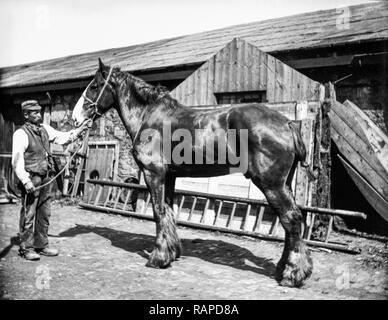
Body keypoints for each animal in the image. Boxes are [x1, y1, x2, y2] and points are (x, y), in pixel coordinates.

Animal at [73, 59, 314, 288]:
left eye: (94, 86)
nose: (76, 118)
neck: (148, 117)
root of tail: (288, 123)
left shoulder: (154, 174)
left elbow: (159, 212)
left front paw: (158, 258)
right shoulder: (169, 176)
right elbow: (169, 212)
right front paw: (170, 253)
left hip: (271, 184)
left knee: (291, 219)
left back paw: (292, 275)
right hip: (284, 183)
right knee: (290, 222)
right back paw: (284, 269)